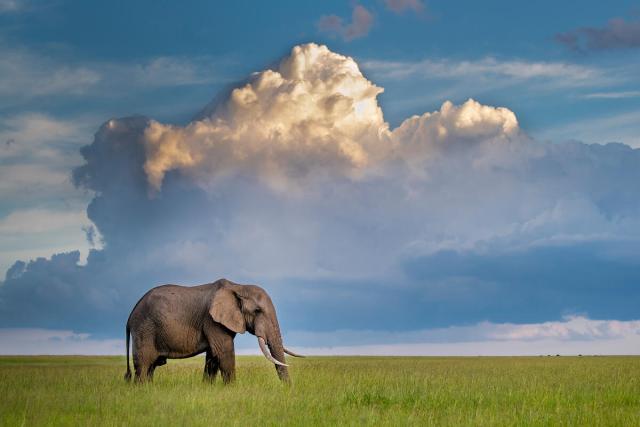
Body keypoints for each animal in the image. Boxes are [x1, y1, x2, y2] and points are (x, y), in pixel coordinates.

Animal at [124, 278, 302, 383]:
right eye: (257, 311)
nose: (287, 390)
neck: (238, 286)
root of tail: (130, 315)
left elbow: (213, 356)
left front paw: (207, 387)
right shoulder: (212, 321)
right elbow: (224, 352)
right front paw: (232, 389)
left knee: (151, 366)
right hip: (145, 329)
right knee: (144, 364)